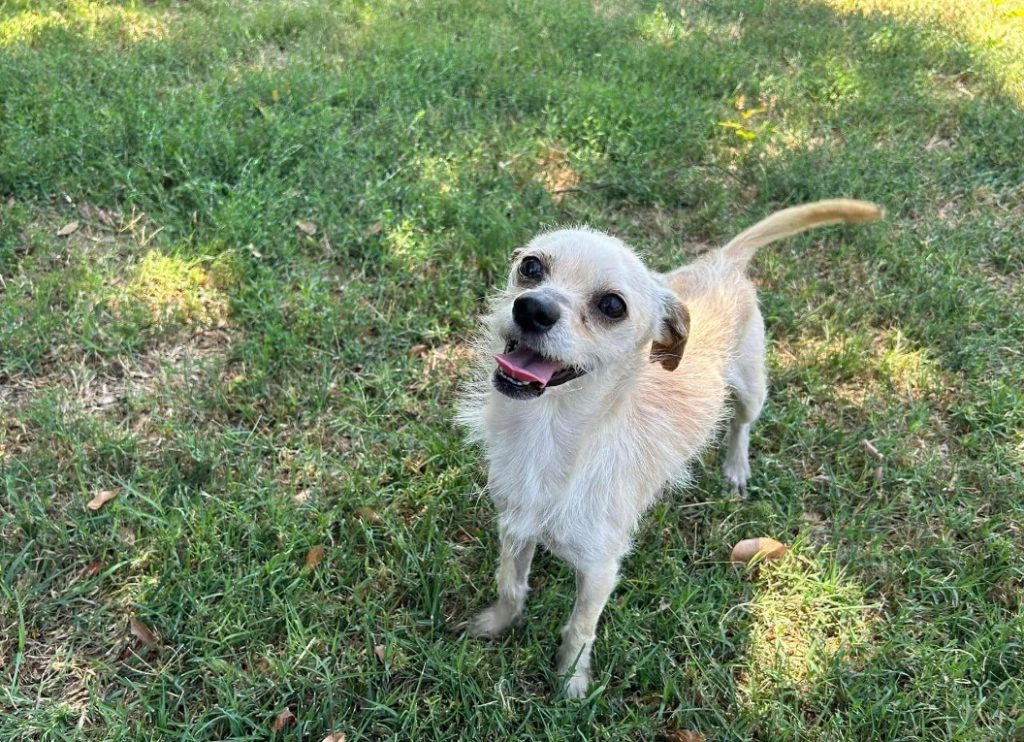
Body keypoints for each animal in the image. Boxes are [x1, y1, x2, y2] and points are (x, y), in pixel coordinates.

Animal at [456, 196, 880, 695]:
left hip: (752, 389)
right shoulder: (514, 526)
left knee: (741, 426)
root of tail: (721, 262)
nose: (532, 309)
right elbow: (511, 585)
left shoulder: (601, 568)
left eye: (613, 305)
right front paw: (496, 624)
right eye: (531, 267)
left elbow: (580, 628)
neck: (549, 433)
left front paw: (570, 682)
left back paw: (736, 468)